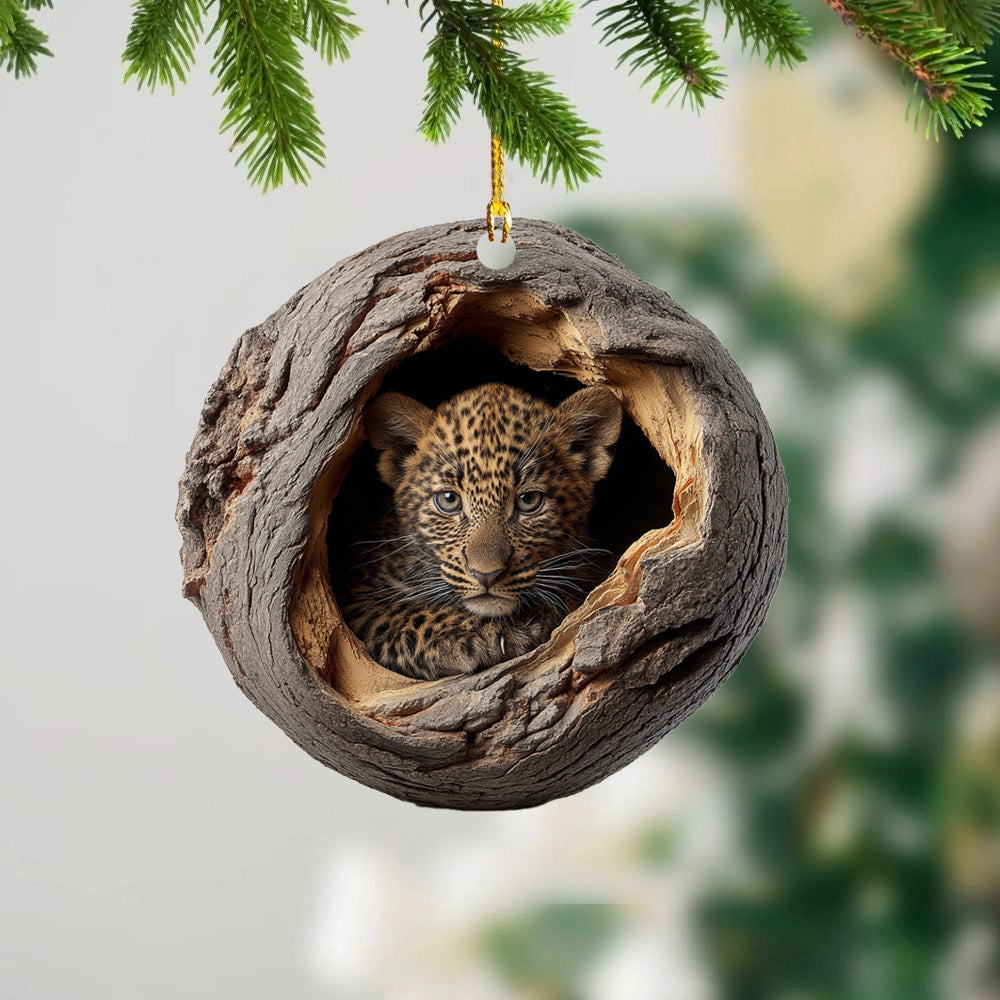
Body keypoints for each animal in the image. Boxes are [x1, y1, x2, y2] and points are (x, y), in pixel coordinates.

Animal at [337, 381, 623, 681]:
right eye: (449, 500)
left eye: (528, 501)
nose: (487, 575)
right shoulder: (354, 598)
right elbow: (400, 612)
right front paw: (471, 634)